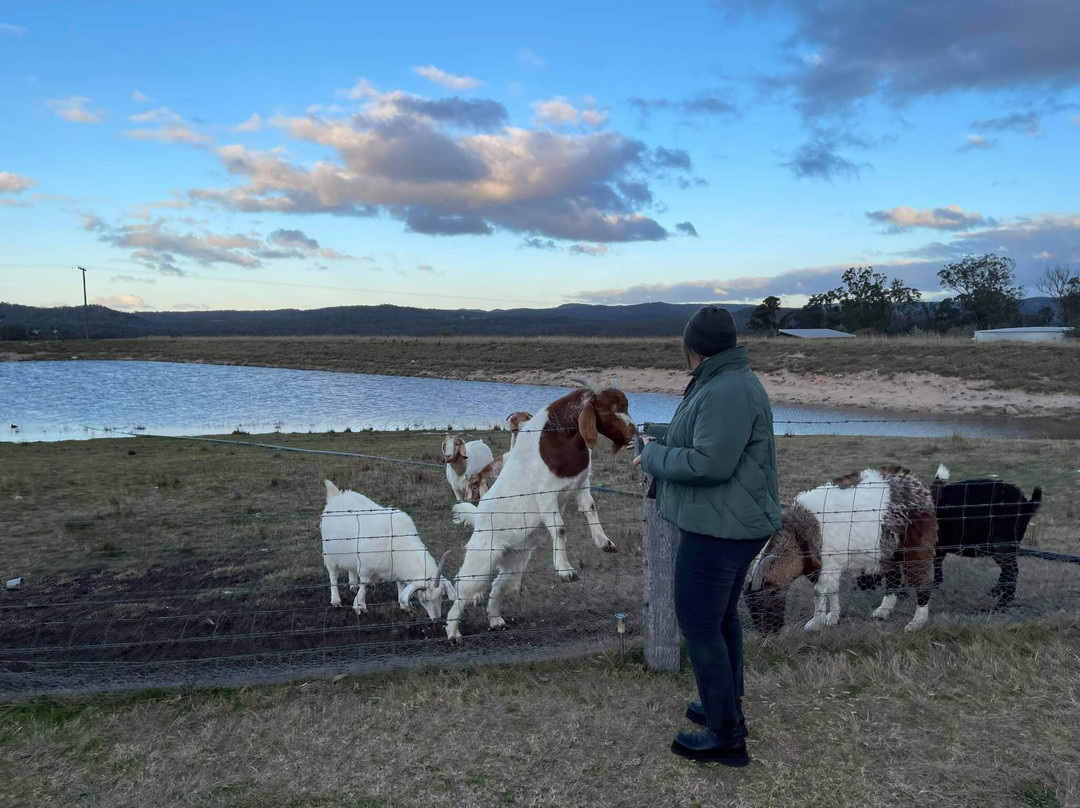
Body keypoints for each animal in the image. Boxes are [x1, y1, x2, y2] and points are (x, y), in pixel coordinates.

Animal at [319, 479, 455, 617]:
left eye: (441, 596)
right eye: (424, 599)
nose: (436, 618)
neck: (399, 543)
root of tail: (337, 495)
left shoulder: (395, 569)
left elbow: (399, 583)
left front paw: (404, 605)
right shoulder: (366, 568)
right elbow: (365, 585)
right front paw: (359, 605)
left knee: (350, 569)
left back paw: (353, 585)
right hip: (329, 553)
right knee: (333, 575)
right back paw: (336, 599)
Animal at [747, 470, 941, 635]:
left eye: (762, 601)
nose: (767, 632)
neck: (801, 533)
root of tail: (918, 488)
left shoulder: (829, 565)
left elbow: (820, 592)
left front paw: (817, 622)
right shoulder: (820, 568)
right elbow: (830, 591)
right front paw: (830, 618)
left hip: (916, 546)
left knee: (922, 579)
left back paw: (917, 622)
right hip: (889, 549)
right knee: (893, 576)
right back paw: (883, 610)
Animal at [933, 464, 1041, 604]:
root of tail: (1027, 504)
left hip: (1001, 543)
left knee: (1011, 571)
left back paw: (1003, 602)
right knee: (1009, 570)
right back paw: (995, 593)